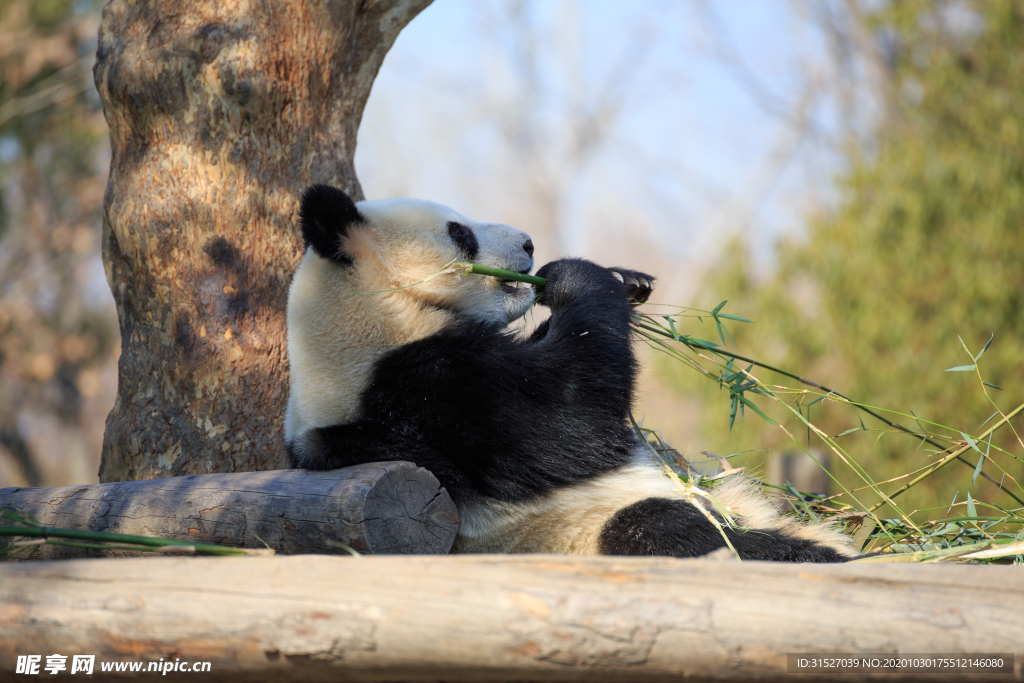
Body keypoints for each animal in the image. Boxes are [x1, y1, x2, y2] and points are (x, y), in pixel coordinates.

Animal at [286, 184, 856, 565]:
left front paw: (627, 279)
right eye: (459, 233)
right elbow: (573, 414)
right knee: (667, 530)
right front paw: (572, 274)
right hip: (585, 531)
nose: (528, 244)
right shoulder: (431, 393)